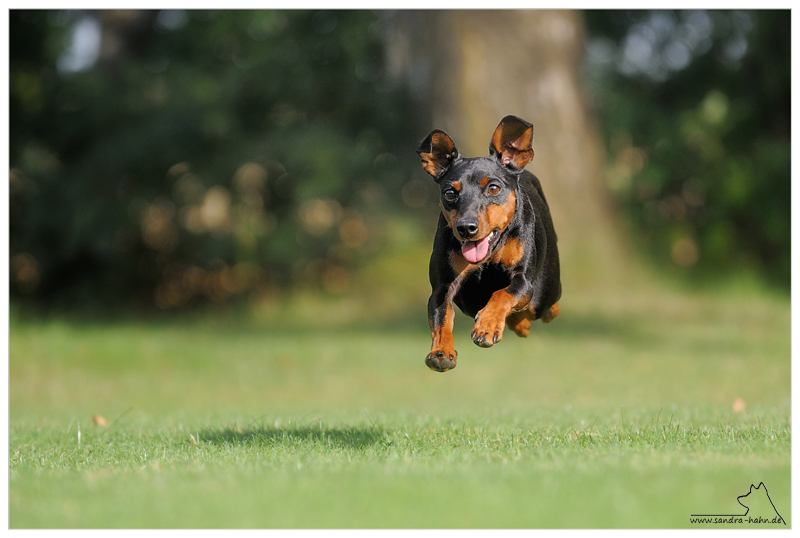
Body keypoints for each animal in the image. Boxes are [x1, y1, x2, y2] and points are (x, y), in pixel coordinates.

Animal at [416, 115, 560, 370]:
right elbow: (441, 319)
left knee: (542, 305)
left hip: (545, 293)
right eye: (449, 193)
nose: (466, 228)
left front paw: (487, 326)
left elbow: (502, 294)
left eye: (493, 188)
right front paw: (441, 352)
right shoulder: (443, 287)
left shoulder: (523, 280)